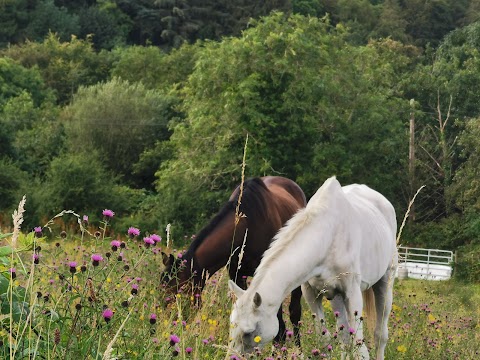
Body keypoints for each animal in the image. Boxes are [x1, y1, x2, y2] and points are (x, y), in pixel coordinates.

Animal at [229, 176, 398, 358]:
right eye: (232, 324)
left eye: (248, 332)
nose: (232, 356)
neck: (327, 236)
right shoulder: (312, 293)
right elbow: (326, 341)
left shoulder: (352, 293)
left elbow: (360, 349)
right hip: (336, 298)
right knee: (345, 337)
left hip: (385, 282)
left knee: (380, 335)